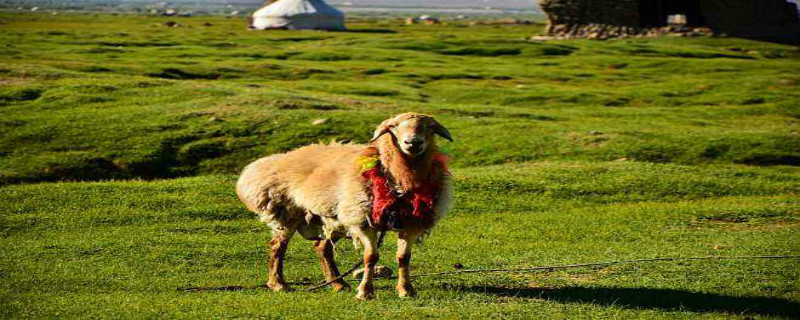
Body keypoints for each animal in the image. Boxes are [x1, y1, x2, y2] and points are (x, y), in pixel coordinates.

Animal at [234, 113, 454, 300]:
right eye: (393, 126)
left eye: (429, 127)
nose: (413, 142)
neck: (398, 179)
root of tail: (280, 158)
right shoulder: (363, 221)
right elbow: (371, 257)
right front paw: (365, 292)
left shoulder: (412, 224)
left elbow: (403, 257)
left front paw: (406, 290)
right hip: (287, 212)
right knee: (278, 247)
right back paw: (278, 284)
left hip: (333, 217)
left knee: (322, 248)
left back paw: (338, 284)